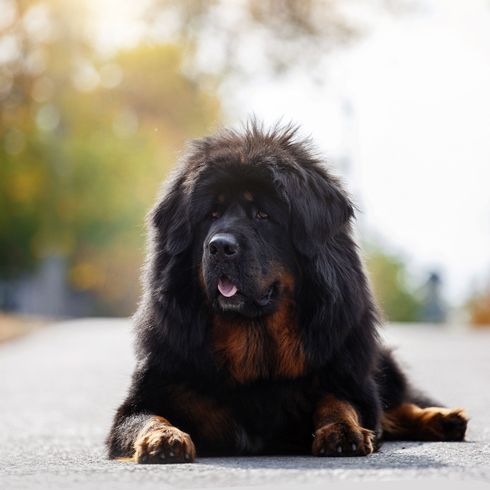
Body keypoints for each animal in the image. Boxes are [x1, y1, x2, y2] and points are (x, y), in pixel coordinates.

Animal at [107, 122, 468, 464]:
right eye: (211, 215)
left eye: (263, 215)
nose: (220, 246)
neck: (255, 344)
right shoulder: (149, 395)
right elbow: (148, 418)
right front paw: (163, 439)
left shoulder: (349, 379)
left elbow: (341, 402)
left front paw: (343, 430)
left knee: (397, 404)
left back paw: (443, 418)